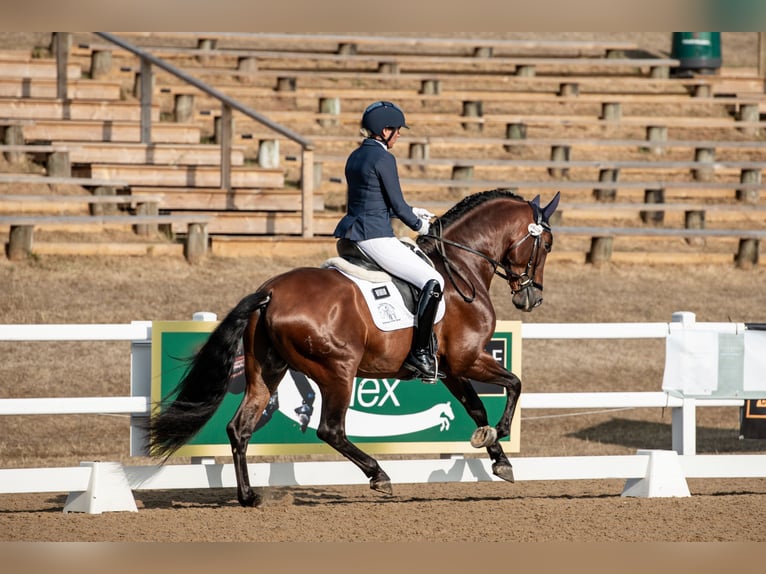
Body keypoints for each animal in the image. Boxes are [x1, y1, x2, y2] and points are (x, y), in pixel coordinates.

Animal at [147, 188, 560, 507]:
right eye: (547, 244)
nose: (532, 298)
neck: (462, 264)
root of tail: (270, 292)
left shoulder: (450, 369)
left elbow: (476, 408)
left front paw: (499, 459)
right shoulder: (468, 359)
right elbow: (514, 383)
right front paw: (499, 434)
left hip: (267, 370)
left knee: (239, 428)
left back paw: (249, 496)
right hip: (338, 372)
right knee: (331, 430)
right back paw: (379, 475)